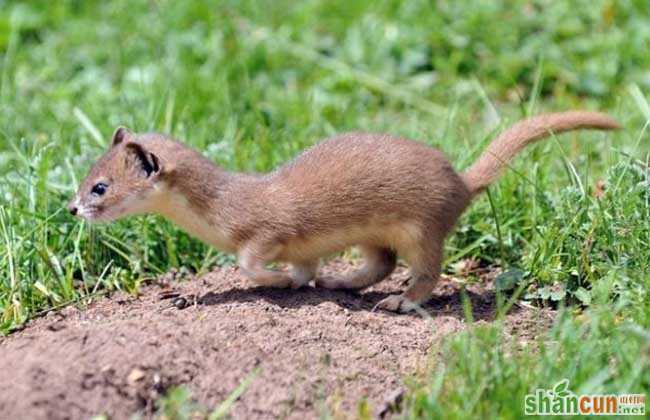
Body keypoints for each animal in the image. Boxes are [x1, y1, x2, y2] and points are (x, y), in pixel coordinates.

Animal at [69, 111, 616, 312]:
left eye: (100, 186)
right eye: (85, 173)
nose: (72, 207)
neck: (222, 207)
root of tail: (460, 182)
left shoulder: (266, 229)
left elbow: (250, 260)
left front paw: (273, 280)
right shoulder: (303, 247)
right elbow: (303, 265)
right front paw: (299, 281)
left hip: (421, 226)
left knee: (426, 271)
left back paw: (399, 302)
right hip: (378, 235)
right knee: (381, 263)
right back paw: (342, 281)